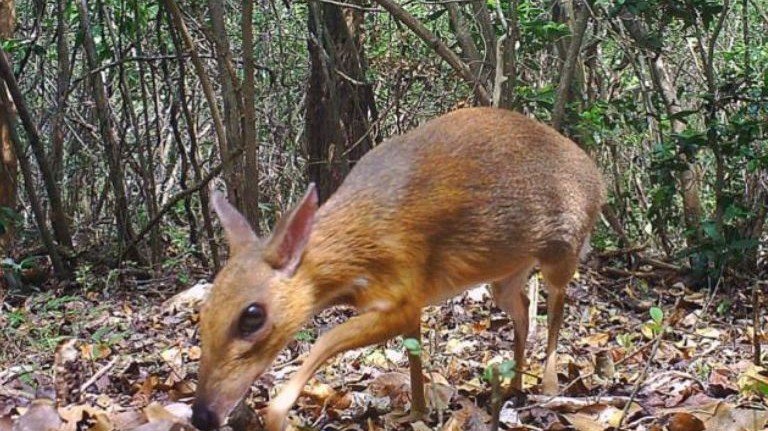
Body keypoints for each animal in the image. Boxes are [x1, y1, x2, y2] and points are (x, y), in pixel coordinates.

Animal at [189, 108, 604, 431]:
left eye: (252, 316)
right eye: (203, 312)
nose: (202, 415)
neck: (358, 247)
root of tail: (599, 177)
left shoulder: (402, 292)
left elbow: (326, 340)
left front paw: (277, 415)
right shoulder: (412, 301)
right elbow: (413, 354)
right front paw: (416, 412)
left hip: (564, 250)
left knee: (556, 307)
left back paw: (547, 387)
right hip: (505, 274)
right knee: (522, 308)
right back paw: (514, 386)